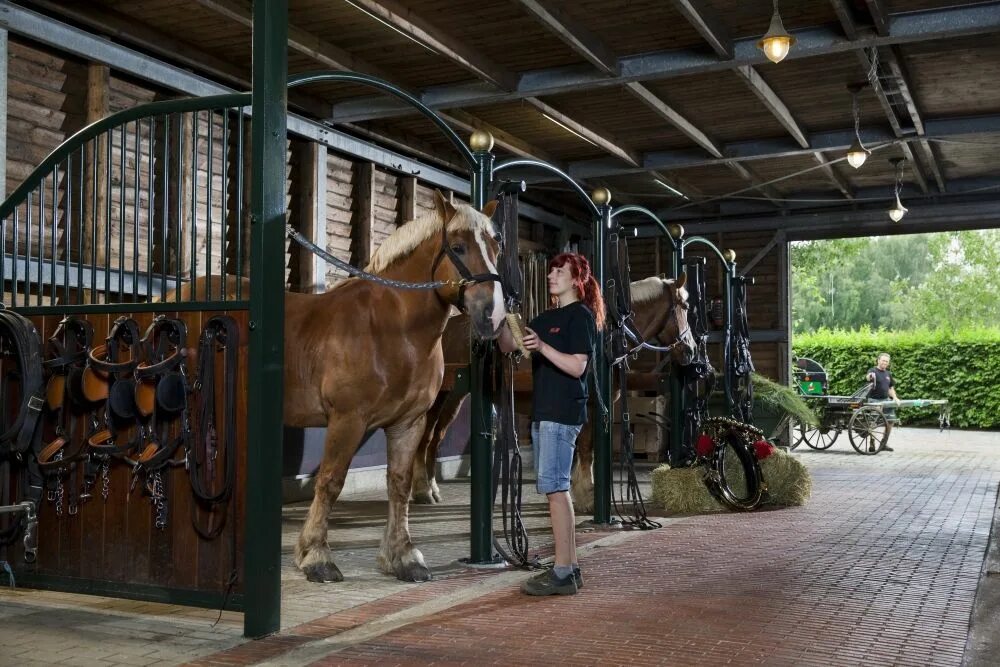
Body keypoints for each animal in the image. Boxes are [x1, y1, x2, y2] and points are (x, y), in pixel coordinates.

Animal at [170, 190, 508, 580]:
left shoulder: (408, 423)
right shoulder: (348, 420)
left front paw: (403, 556)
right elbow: (331, 481)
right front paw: (316, 556)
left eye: (496, 246)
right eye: (458, 246)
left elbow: (399, 484)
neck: (391, 328)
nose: (493, 314)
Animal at [410, 274, 692, 516]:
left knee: (434, 438)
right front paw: (587, 498)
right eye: (685, 306)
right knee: (427, 438)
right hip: (443, 397)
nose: (690, 350)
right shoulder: (588, 407)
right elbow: (586, 451)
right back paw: (424, 491)